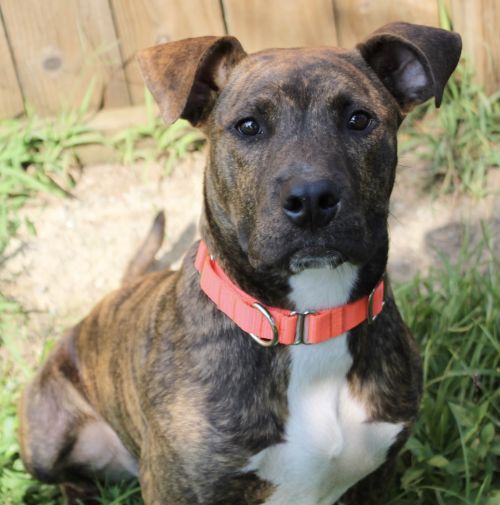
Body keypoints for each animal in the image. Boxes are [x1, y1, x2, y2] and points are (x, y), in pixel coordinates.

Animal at [18, 22, 461, 505]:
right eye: (248, 126)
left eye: (359, 119)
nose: (311, 199)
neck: (308, 320)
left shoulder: (376, 477)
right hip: (45, 440)